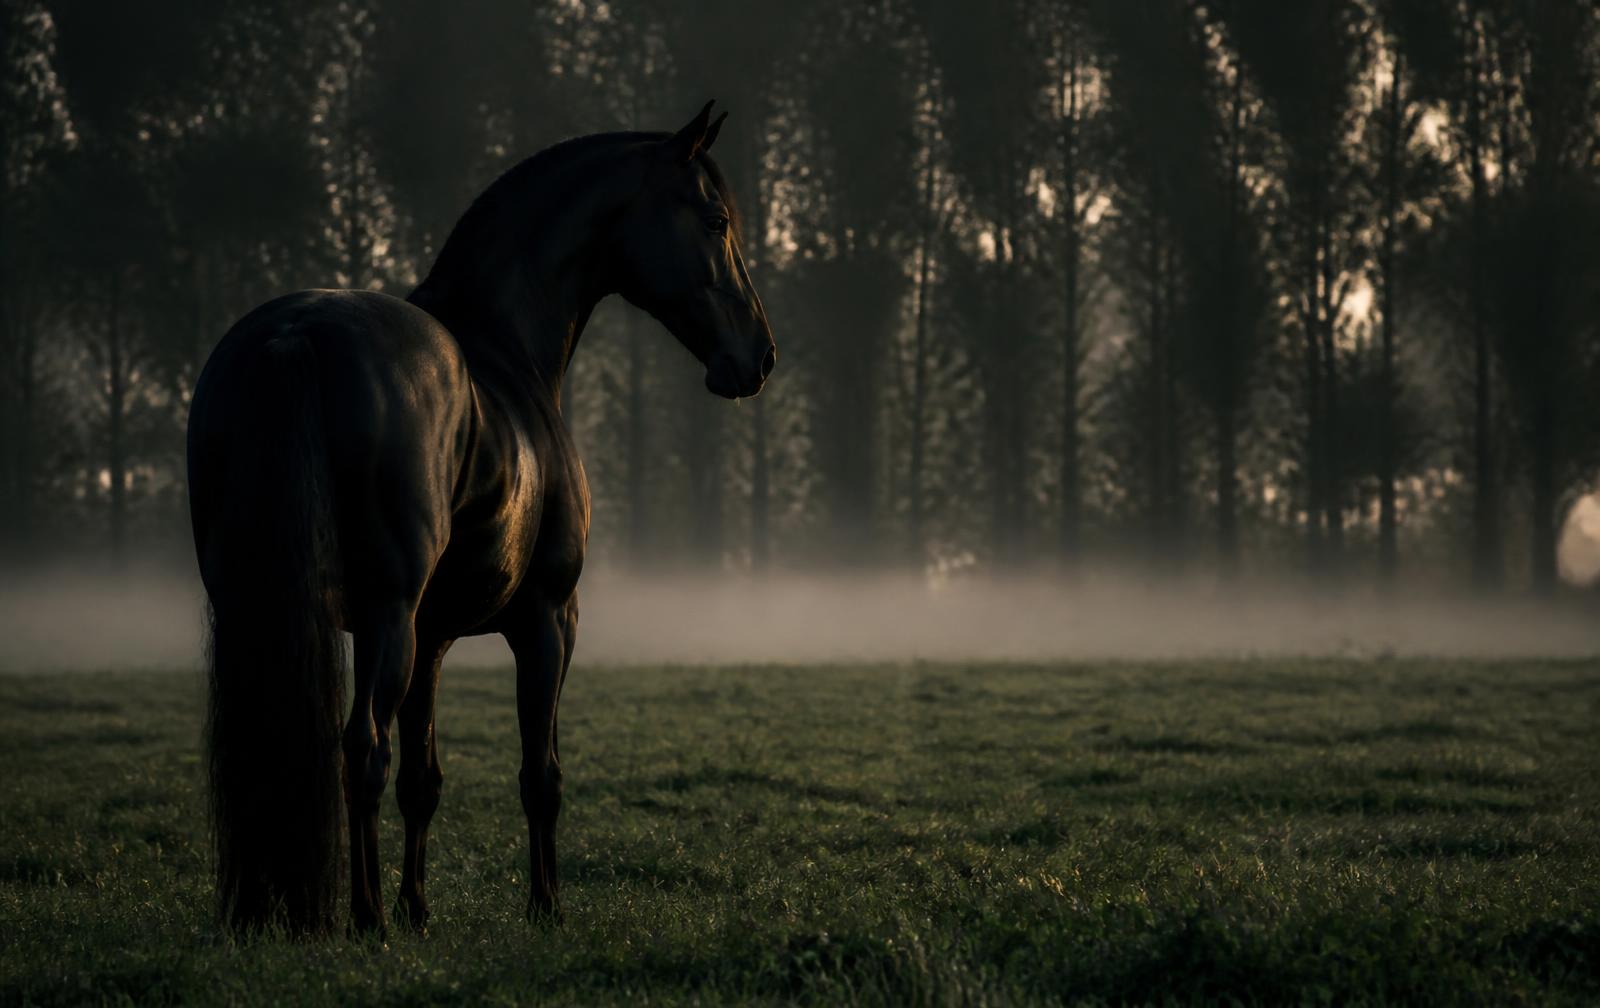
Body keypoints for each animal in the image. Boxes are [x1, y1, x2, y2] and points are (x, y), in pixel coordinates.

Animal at [186, 102, 775, 937]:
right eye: (716, 219)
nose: (758, 357)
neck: (506, 347)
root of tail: (294, 334)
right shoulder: (547, 621)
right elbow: (539, 775)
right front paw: (545, 907)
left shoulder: (431, 638)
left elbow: (424, 781)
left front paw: (420, 909)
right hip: (389, 616)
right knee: (361, 750)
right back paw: (364, 919)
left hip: (269, 612)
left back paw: (273, 912)